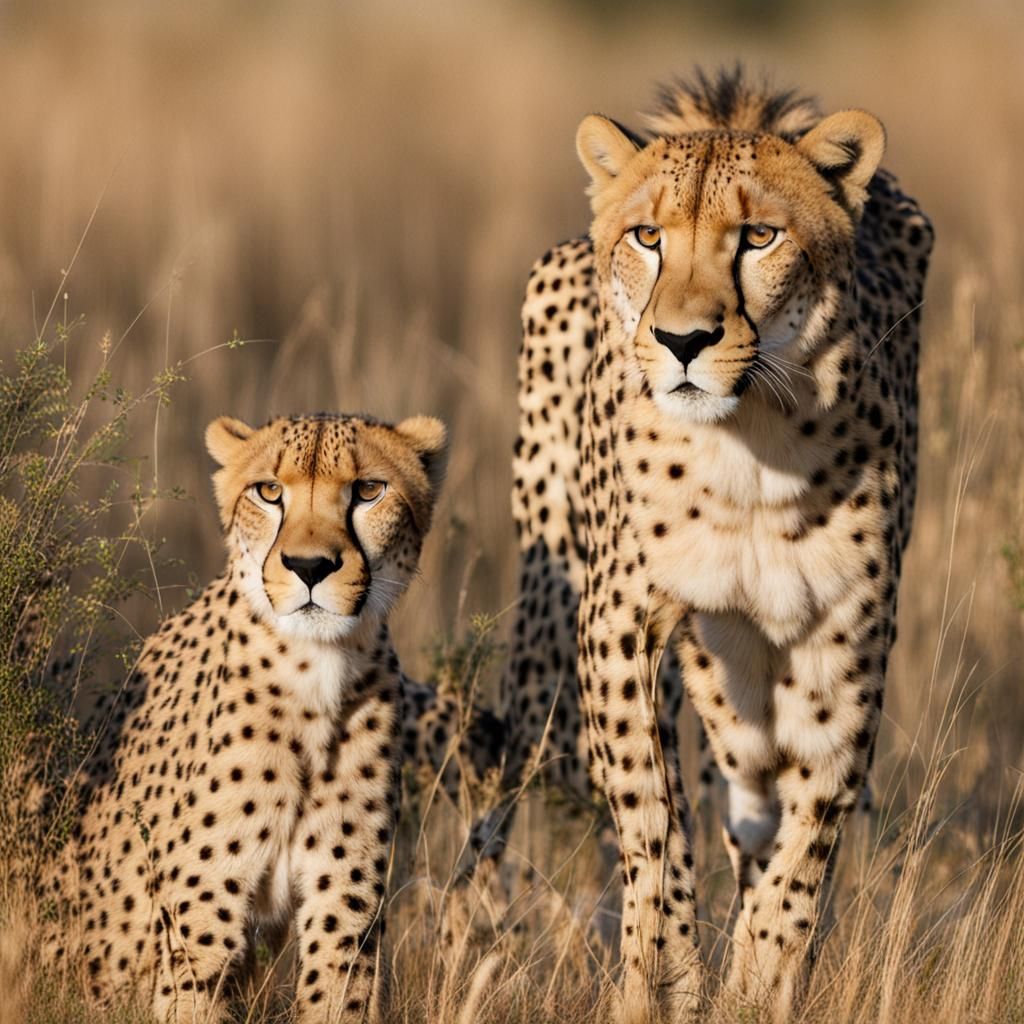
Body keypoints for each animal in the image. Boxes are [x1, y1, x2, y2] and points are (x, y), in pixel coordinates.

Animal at [39, 410, 451, 1023]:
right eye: (269, 492)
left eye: (368, 491)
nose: (310, 567)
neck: (315, 669)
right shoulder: (201, 921)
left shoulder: (342, 901)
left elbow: (338, 996)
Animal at [453, 68, 933, 1023]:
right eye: (649, 237)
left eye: (759, 237)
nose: (683, 341)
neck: (749, 440)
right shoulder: (617, 623)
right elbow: (651, 820)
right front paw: (667, 975)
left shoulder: (844, 649)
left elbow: (804, 845)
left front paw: (761, 980)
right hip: (546, 639)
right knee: (513, 778)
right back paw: (476, 937)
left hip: (741, 680)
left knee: (754, 799)